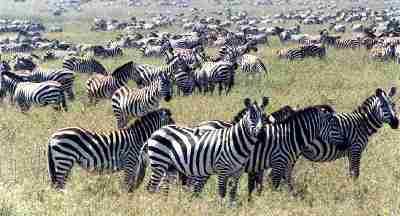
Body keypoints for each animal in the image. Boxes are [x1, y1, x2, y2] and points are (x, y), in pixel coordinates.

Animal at [138, 97, 268, 207]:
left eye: (264, 117)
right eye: (252, 116)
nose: (261, 134)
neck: (236, 141)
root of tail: (155, 132)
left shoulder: (237, 173)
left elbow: (232, 193)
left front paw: (231, 209)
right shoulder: (222, 169)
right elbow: (222, 192)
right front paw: (221, 209)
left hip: (169, 166)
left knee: (163, 187)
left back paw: (165, 205)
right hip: (159, 161)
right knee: (152, 187)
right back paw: (152, 206)